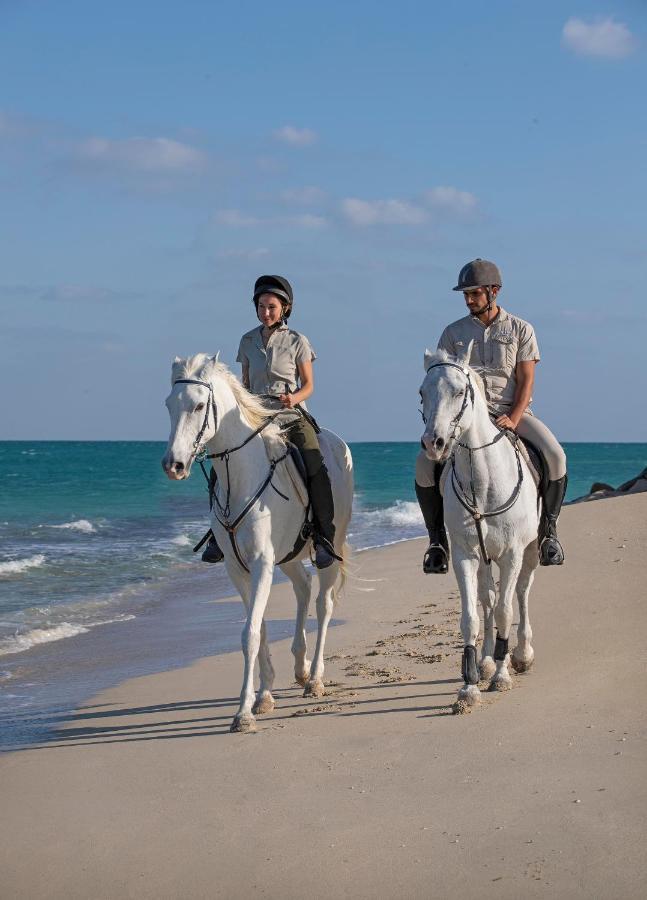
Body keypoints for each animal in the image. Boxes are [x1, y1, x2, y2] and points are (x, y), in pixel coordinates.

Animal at [162, 352, 354, 732]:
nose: (173, 465)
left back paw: (315, 679)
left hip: (331, 546)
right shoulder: (239, 570)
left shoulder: (263, 563)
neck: (241, 476)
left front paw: (243, 713)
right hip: (289, 556)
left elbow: (250, 633)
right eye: (168, 405)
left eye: (199, 405)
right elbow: (259, 628)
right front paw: (263, 696)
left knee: (323, 604)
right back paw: (299, 667)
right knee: (303, 587)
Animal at [420, 344, 540, 712]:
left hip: (529, 553)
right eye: (422, 393)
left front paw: (502, 676)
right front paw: (470, 685)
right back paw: (487, 660)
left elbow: (505, 610)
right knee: (487, 597)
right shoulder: (465, 555)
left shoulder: (513, 554)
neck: (483, 482)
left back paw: (521, 655)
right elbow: (472, 616)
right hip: (486, 559)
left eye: (460, 392)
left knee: (521, 594)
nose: (433, 443)